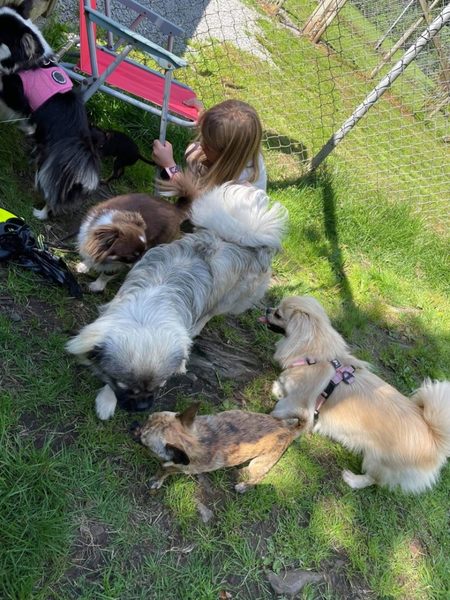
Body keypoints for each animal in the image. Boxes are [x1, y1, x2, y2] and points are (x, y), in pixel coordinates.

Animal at [66, 180, 288, 419]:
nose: (144, 407)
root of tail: (241, 238)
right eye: (125, 386)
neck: (150, 310)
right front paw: (107, 400)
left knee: (210, 313)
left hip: (229, 299)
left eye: (160, 385)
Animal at [131, 403, 302, 492]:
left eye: (144, 443)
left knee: (258, 477)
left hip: (259, 464)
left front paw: (157, 479)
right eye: (148, 418)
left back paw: (243, 486)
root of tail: (288, 428)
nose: (134, 427)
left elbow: (166, 469)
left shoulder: (181, 467)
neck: (196, 440)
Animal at [262, 295, 450, 493]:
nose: (267, 309)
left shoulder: (298, 404)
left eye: (278, 314)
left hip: (377, 461)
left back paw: (352, 479)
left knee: (374, 479)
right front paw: (278, 389)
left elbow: (280, 409)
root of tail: (434, 439)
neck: (313, 358)